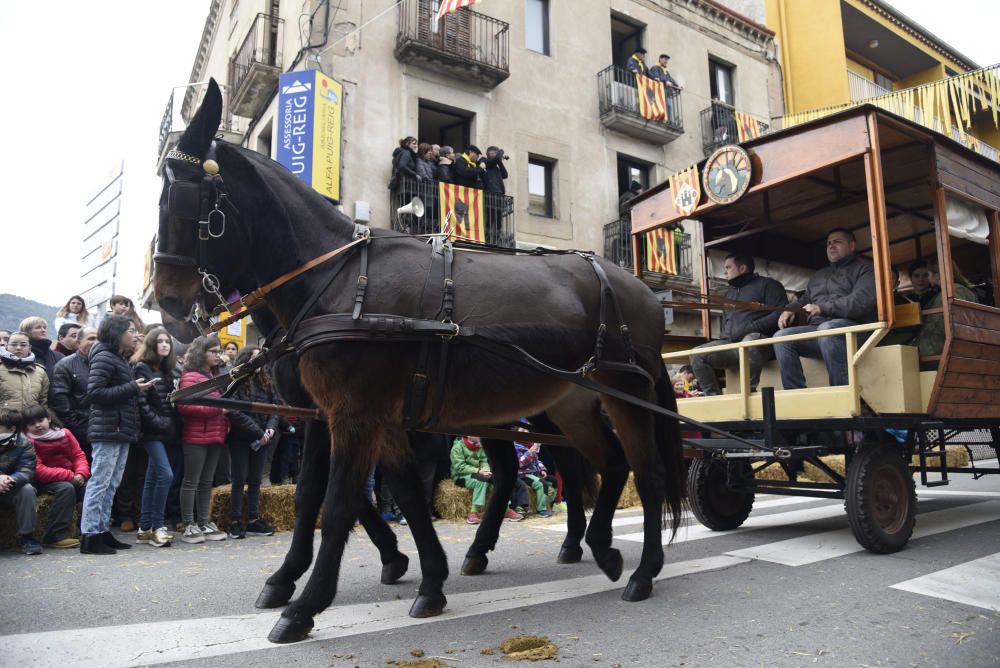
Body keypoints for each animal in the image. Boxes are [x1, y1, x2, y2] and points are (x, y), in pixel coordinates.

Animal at [156, 81, 684, 644]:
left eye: (182, 198)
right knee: (603, 464)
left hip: (624, 395)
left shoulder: (353, 414)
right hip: (569, 407)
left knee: (646, 472)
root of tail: (642, 291)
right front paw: (426, 578)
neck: (343, 280)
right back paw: (595, 548)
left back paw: (642, 570)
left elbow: (336, 504)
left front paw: (304, 604)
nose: (165, 301)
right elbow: (389, 495)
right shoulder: (352, 415)